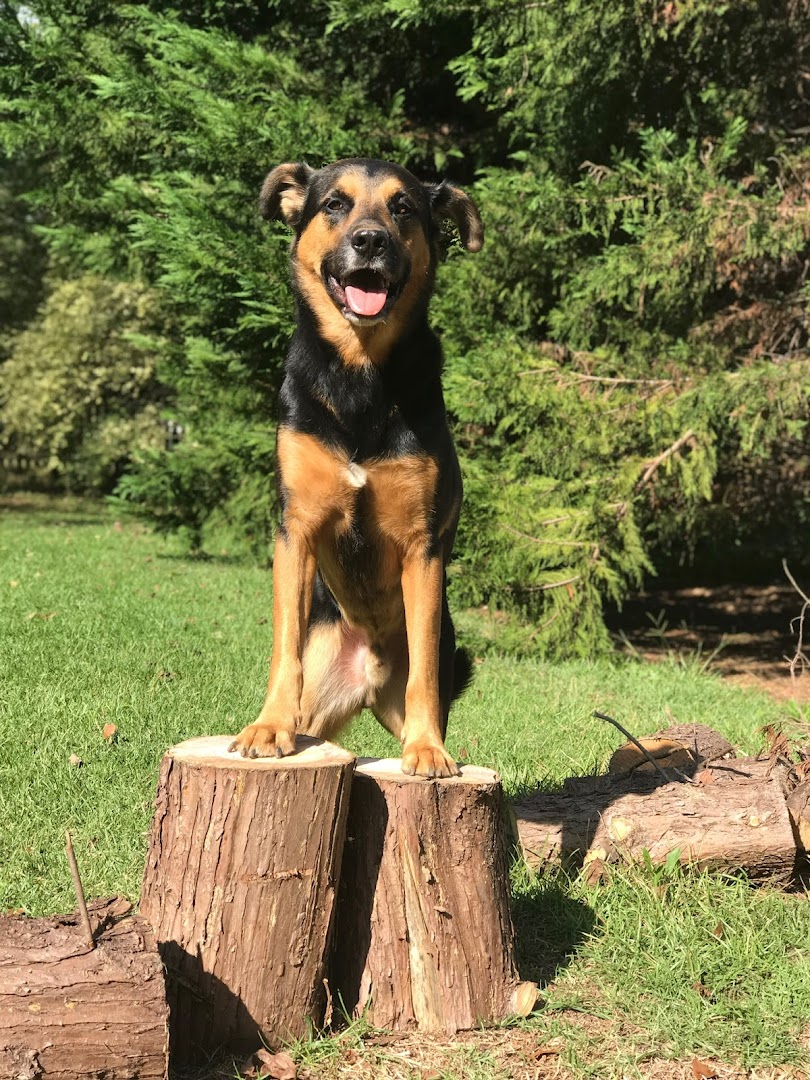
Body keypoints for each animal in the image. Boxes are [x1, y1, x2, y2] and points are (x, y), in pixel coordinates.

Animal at [230, 156, 481, 777]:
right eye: (335, 204)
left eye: (403, 207)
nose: (369, 241)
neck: (360, 376)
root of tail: (366, 674)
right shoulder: (295, 529)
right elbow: (283, 645)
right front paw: (267, 726)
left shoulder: (422, 545)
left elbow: (424, 671)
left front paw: (427, 749)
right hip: (321, 692)